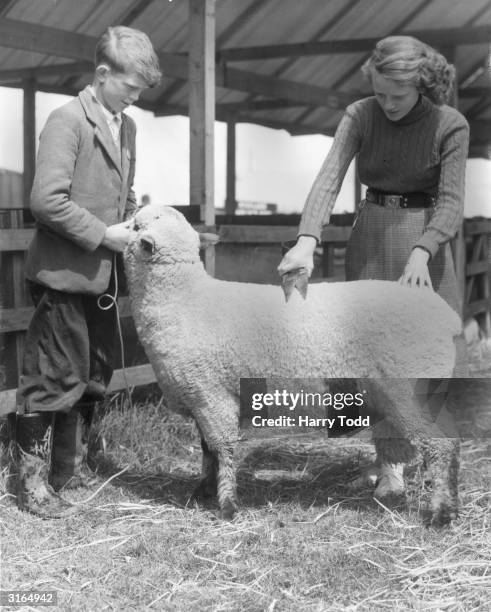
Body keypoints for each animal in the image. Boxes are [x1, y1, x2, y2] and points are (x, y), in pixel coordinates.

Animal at [124, 203, 466, 524]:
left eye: (135, 226)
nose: (127, 214)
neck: (185, 299)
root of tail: (448, 317)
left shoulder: (211, 396)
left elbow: (223, 450)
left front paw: (227, 505)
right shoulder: (201, 398)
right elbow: (208, 451)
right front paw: (203, 492)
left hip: (407, 388)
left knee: (442, 445)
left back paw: (441, 513)